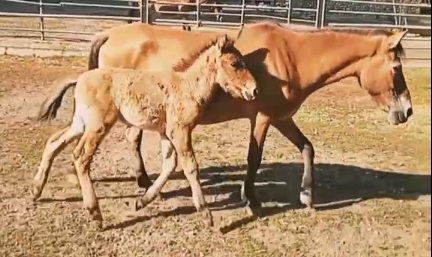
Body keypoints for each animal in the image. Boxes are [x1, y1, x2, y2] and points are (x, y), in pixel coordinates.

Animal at [33, 34, 258, 226]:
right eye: (235, 63)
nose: (254, 90)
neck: (187, 87)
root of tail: (80, 78)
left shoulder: (166, 133)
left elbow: (169, 164)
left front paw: (142, 201)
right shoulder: (180, 131)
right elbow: (191, 166)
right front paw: (205, 213)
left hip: (81, 123)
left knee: (54, 142)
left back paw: (36, 191)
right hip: (98, 125)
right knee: (80, 156)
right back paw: (95, 213)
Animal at [82, 20, 414, 212]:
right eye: (396, 68)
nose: (408, 110)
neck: (291, 57)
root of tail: (110, 33)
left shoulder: (281, 118)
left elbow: (307, 148)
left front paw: (307, 195)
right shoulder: (264, 118)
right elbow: (254, 158)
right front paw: (251, 200)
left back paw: (144, 185)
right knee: (131, 139)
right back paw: (142, 183)